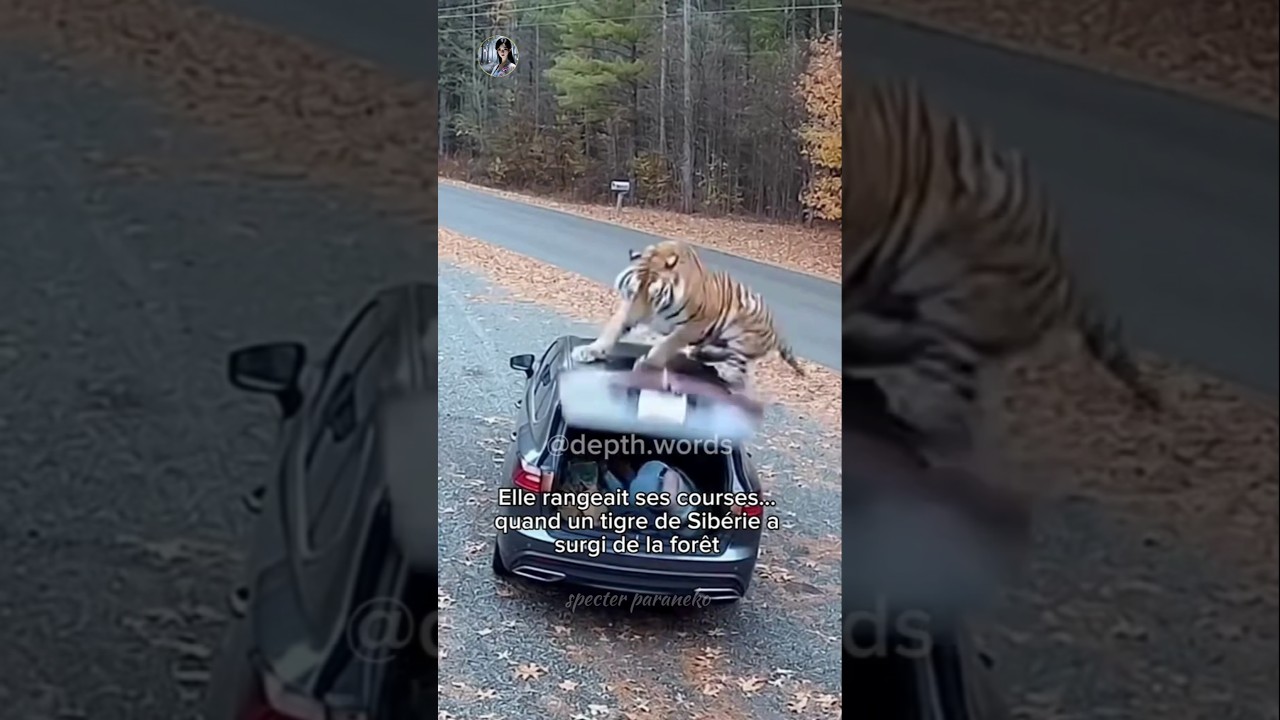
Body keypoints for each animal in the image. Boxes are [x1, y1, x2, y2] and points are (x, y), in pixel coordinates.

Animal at [572, 240, 805, 390]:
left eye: (653, 295)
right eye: (634, 290)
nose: (637, 320)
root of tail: (777, 328)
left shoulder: (696, 323)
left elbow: (668, 344)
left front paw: (647, 364)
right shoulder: (627, 306)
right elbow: (612, 329)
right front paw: (589, 350)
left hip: (742, 336)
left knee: (739, 367)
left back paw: (725, 373)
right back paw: (700, 355)